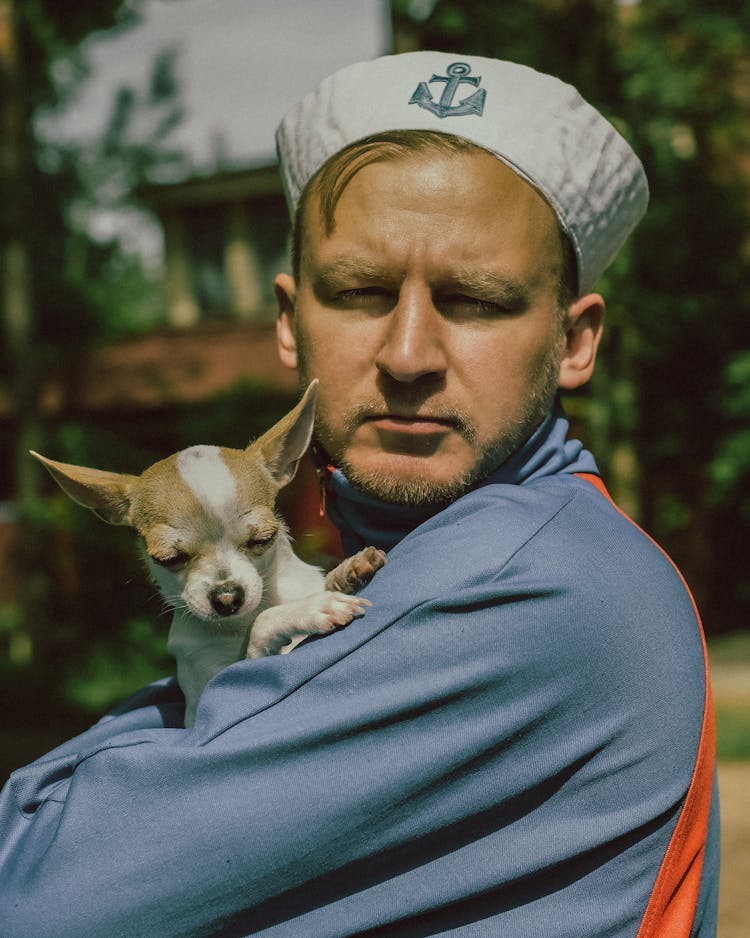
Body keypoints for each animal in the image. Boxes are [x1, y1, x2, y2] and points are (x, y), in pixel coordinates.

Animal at [31, 380, 384, 724]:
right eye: (169, 559)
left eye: (263, 539)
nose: (227, 597)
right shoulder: (207, 700)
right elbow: (262, 626)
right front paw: (312, 609)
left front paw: (347, 571)